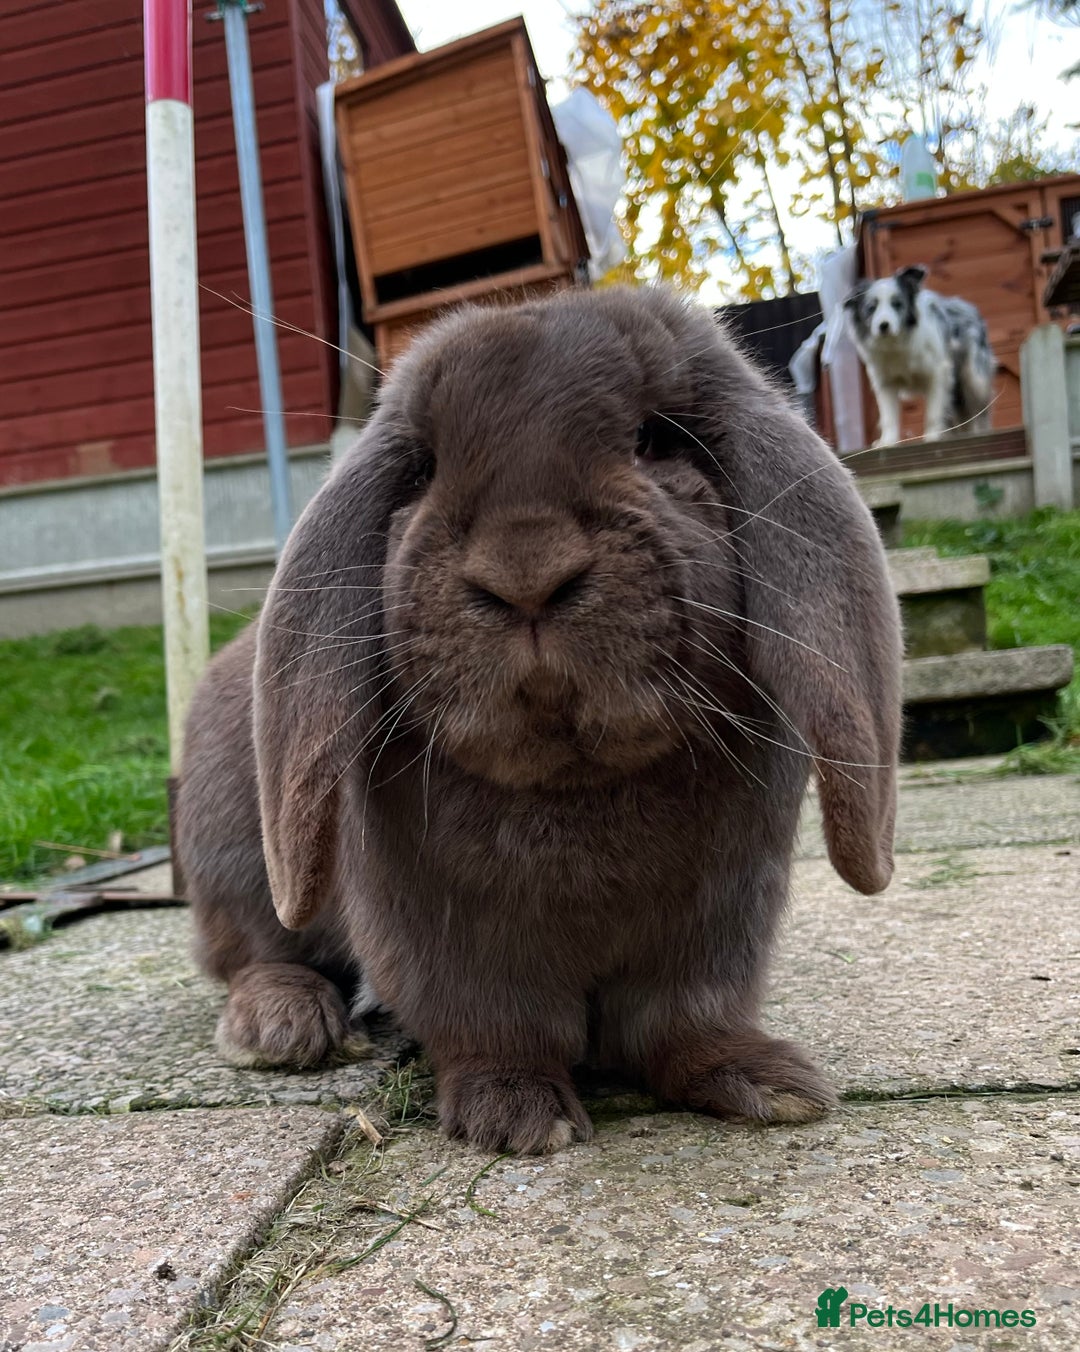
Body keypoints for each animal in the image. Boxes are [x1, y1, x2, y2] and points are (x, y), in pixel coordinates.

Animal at [176, 285, 902, 1154]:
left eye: (657, 439)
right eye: (422, 470)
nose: (526, 570)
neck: (574, 780)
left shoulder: (716, 926)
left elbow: (679, 1025)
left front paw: (768, 1083)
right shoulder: (453, 946)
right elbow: (499, 1030)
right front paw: (520, 1116)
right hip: (236, 860)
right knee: (252, 950)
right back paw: (282, 1026)